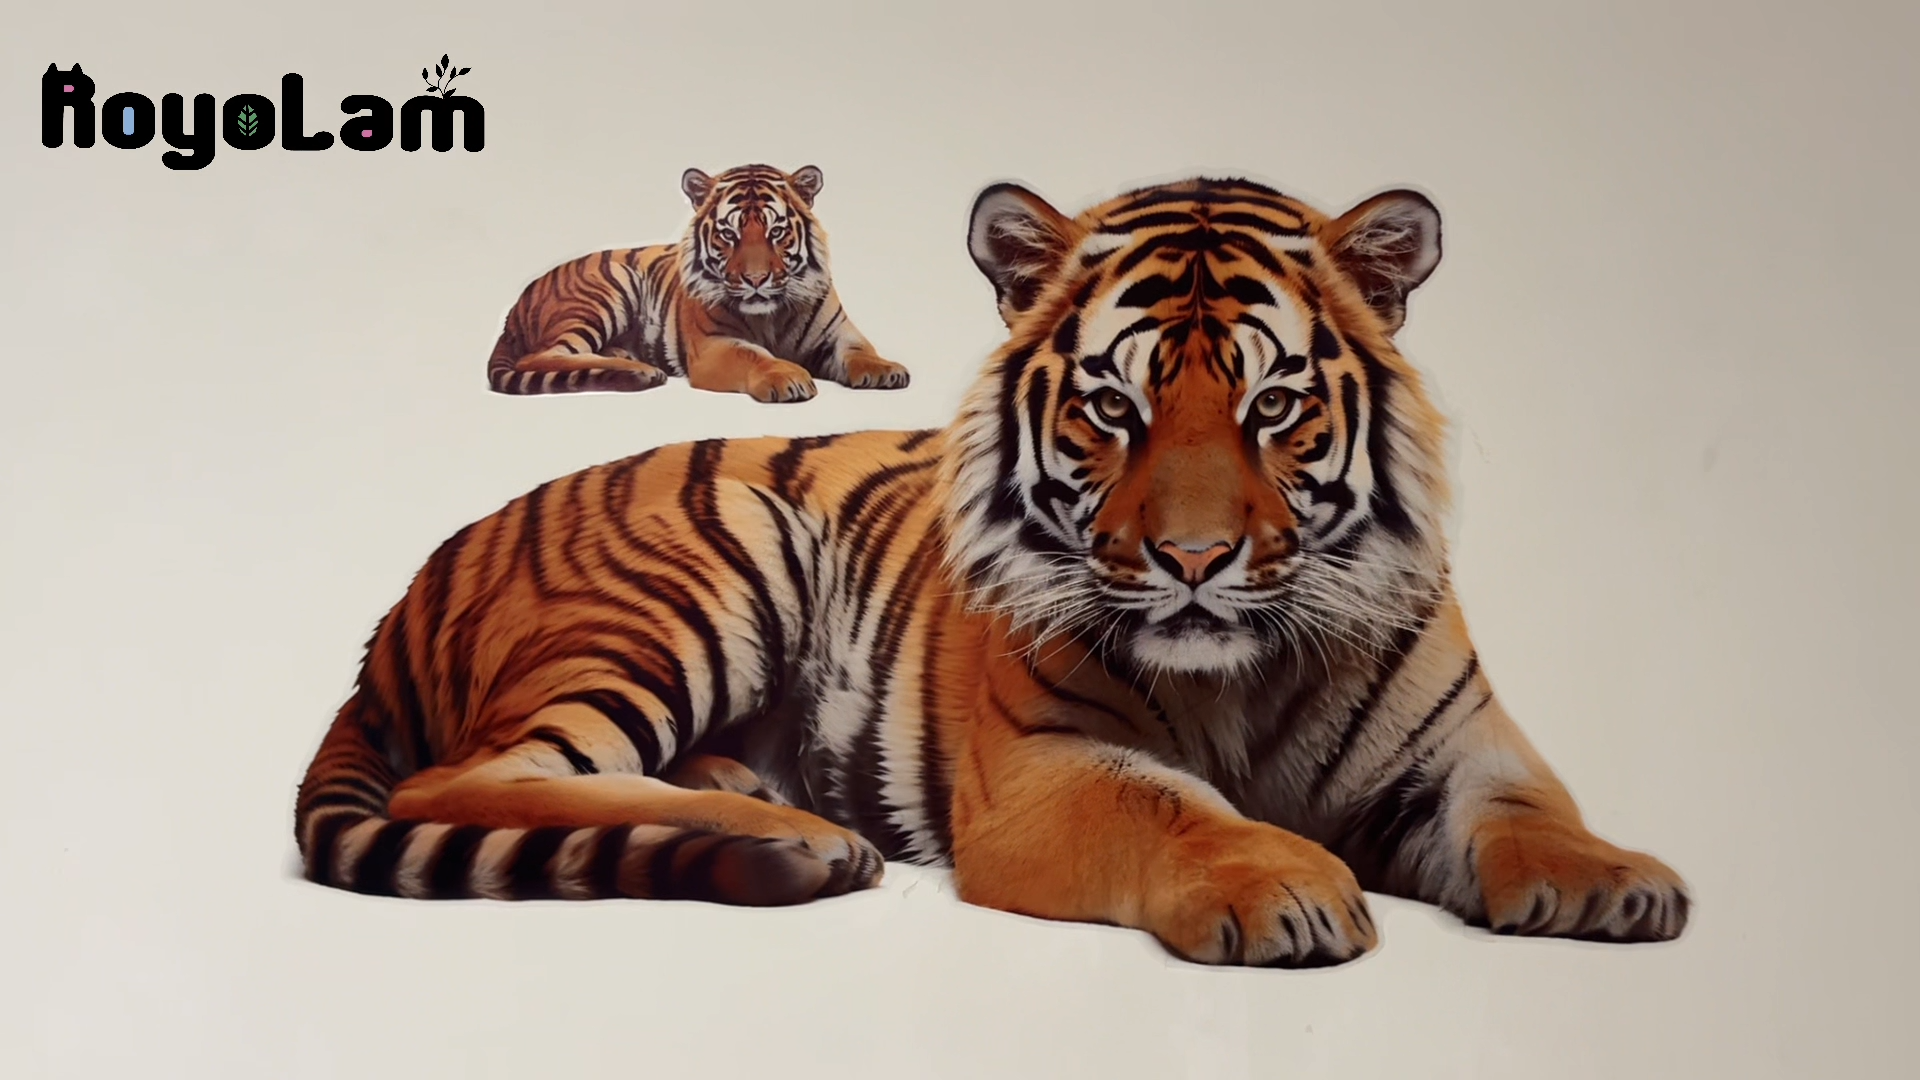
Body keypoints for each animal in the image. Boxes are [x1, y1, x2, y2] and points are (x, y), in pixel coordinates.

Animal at [485, 163, 909, 403]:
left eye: (775, 231)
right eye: (728, 234)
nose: (756, 280)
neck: (771, 316)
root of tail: (514, 309)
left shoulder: (839, 334)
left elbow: (861, 351)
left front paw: (886, 369)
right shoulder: (713, 346)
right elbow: (754, 355)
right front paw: (787, 376)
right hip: (606, 290)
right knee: (540, 356)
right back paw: (640, 370)